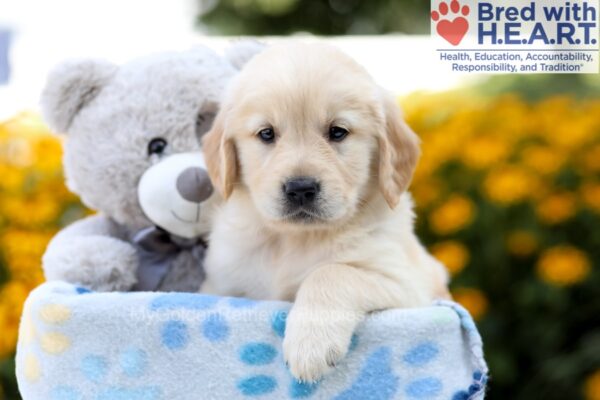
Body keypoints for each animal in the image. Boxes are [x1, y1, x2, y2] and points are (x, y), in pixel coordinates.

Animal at [203, 42, 450, 382]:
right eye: (266, 134)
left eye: (337, 132)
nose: (300, 188)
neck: (294, 239)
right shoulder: (223, 284)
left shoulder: (409, 285)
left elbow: (331, 272)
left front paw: (310, 345)